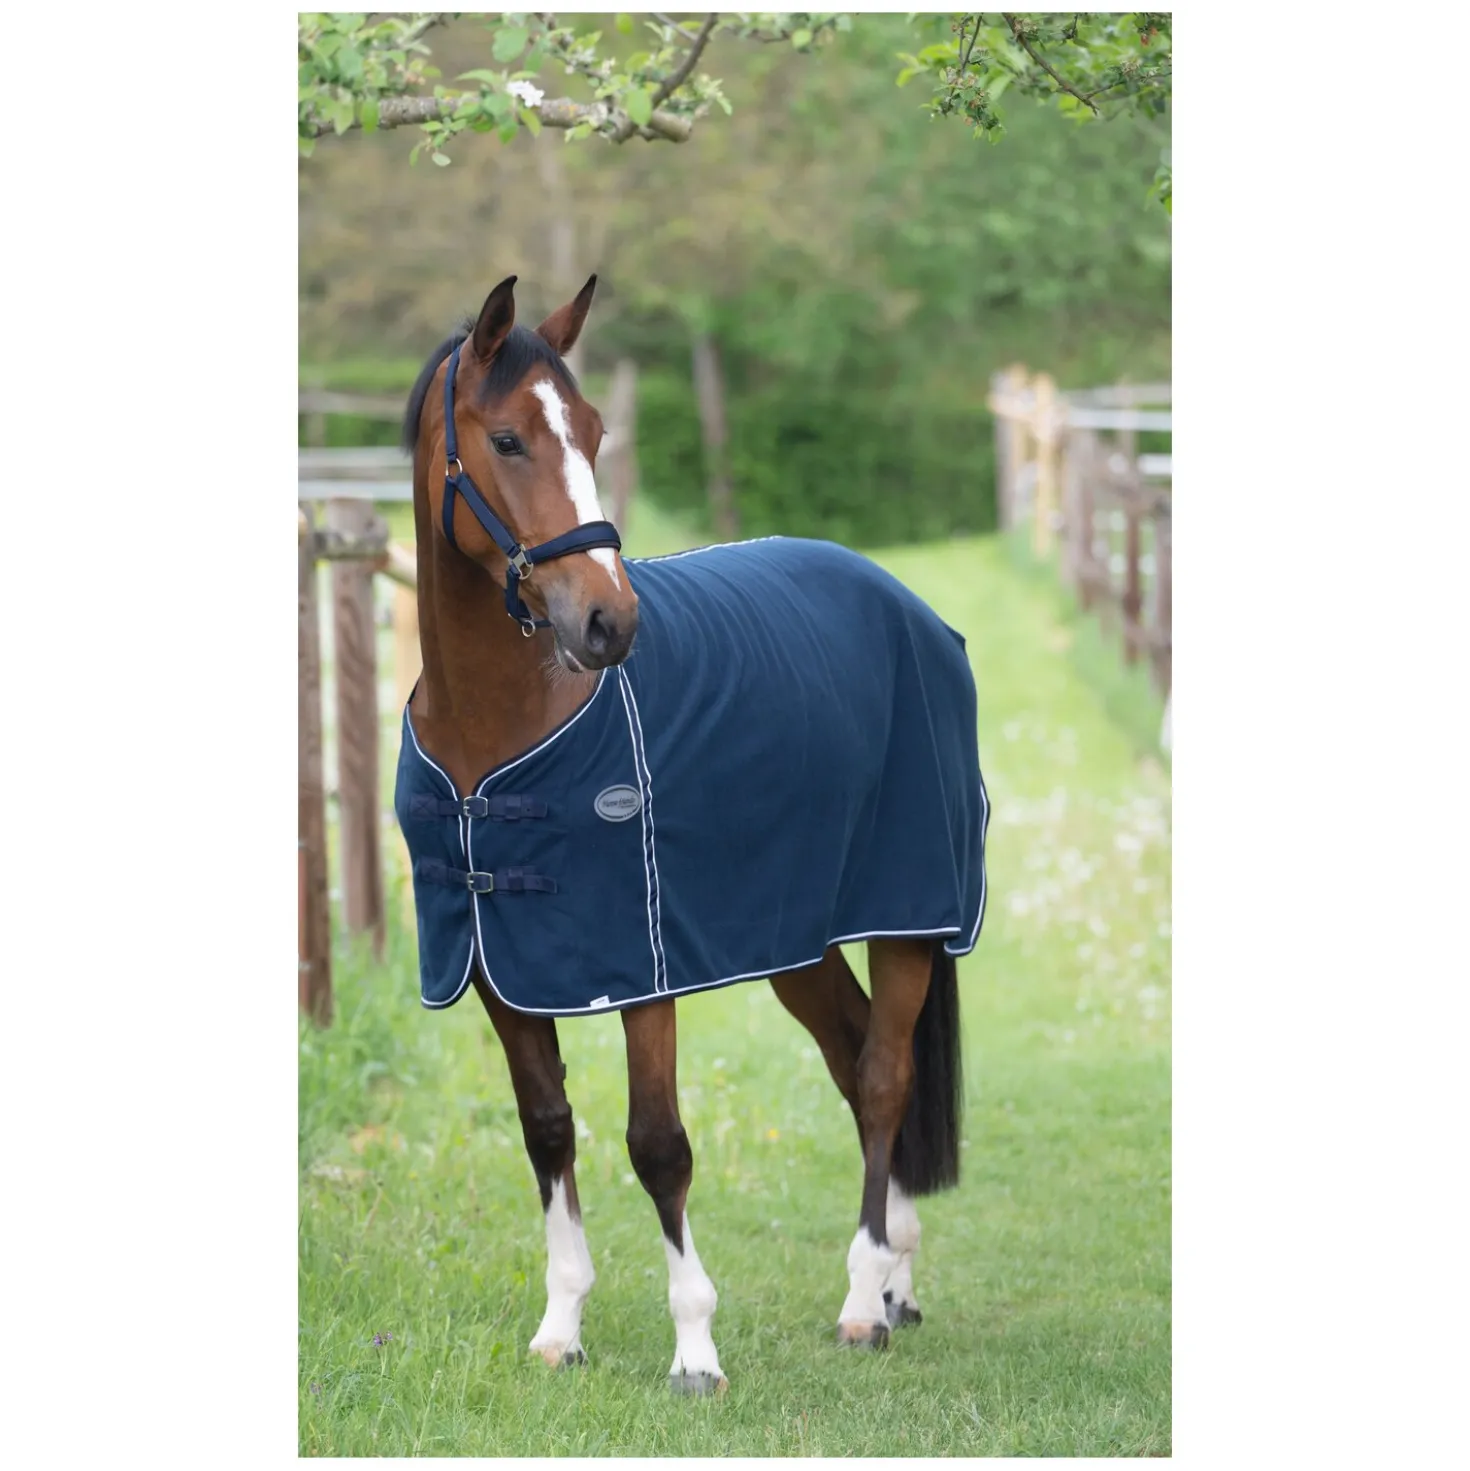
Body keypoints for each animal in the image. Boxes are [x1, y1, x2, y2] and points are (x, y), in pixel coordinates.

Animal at [394, 274, 990, 1394]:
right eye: (507, 439)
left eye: (592, 430)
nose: (609, 623)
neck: (503, 727)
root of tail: (910, 608)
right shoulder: (502, 971)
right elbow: (549, 1132)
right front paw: (562, 1326)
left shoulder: (645, 966)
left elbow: (658, 1142)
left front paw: (695, 1348)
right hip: (795, 939)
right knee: (852, 1061)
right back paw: (894, 1278)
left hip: (910, 918)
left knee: (882, 1079)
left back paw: (863, 1299)